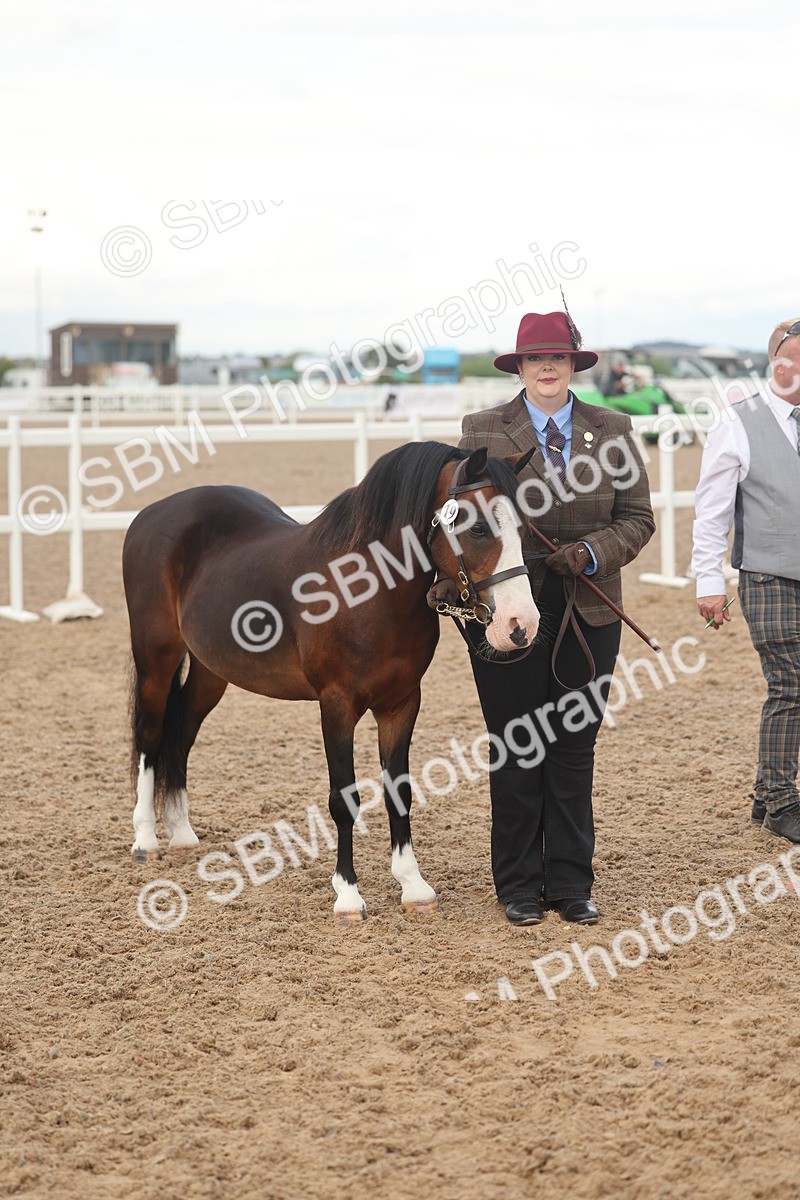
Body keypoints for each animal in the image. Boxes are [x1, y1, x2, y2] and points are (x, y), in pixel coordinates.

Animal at [122, 439, 540, 923]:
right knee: (151, 736)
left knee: (181, 733)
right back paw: (146, 840)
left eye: (524, 527)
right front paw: (348, 895)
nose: (521, 626)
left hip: (211, 671)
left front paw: (413, 886)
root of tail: (151, 513)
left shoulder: (401, 704)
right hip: (156, 658)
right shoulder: (336, 705)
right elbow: (344, 799)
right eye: (477, 529)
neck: (367, 591)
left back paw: (182, 833)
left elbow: (400, 791)